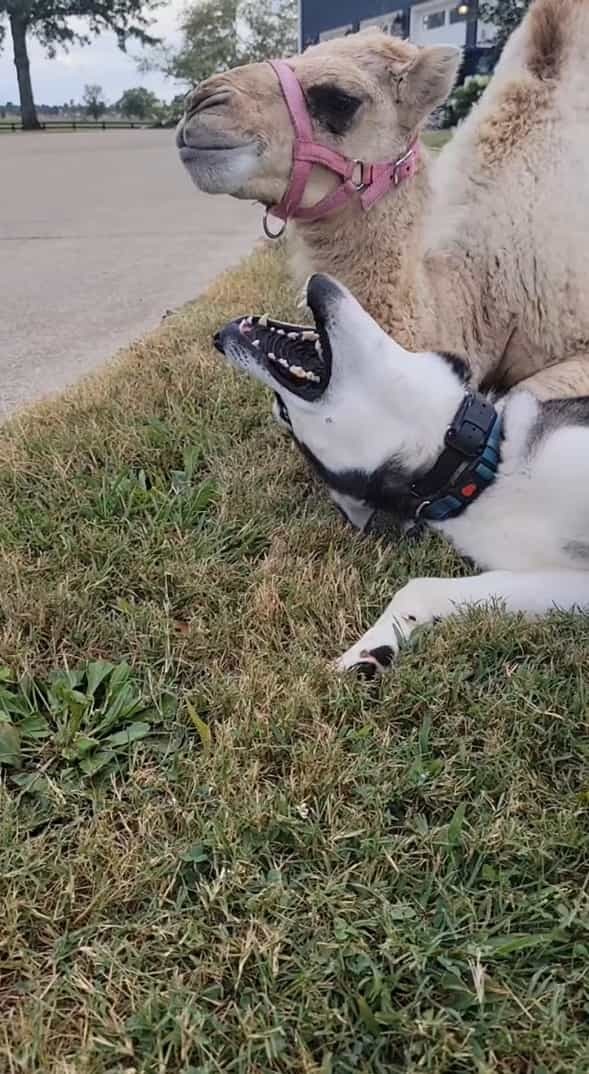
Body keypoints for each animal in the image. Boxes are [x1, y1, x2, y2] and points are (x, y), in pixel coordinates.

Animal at [213, 272, 589, 670]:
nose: (217, 337)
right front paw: (367, 650)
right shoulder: (568, 580)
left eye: (282, 412)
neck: (480, 471)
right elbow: (420, 586)